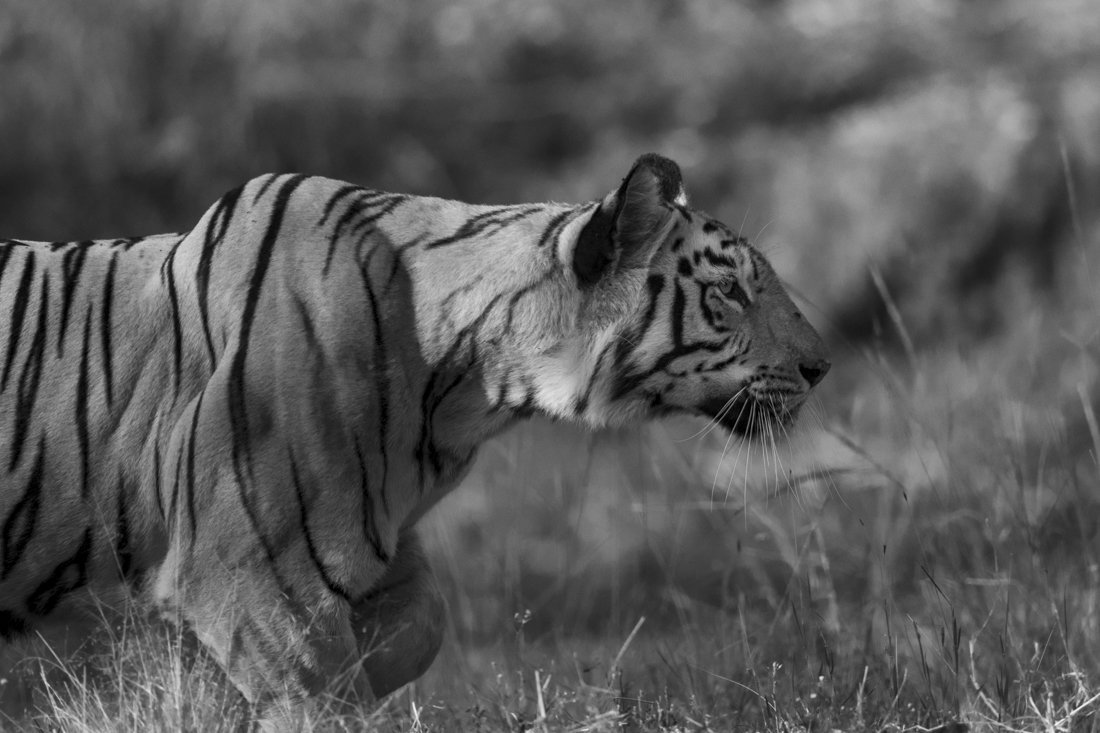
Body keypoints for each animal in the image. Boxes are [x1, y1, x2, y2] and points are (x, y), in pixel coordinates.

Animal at [0, 154, 829, 730]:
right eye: (730, 293)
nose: (821, 367)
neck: (471, 392)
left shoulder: (374, 538)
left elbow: (420, 627)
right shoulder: (244, 568)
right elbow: (314, 687)